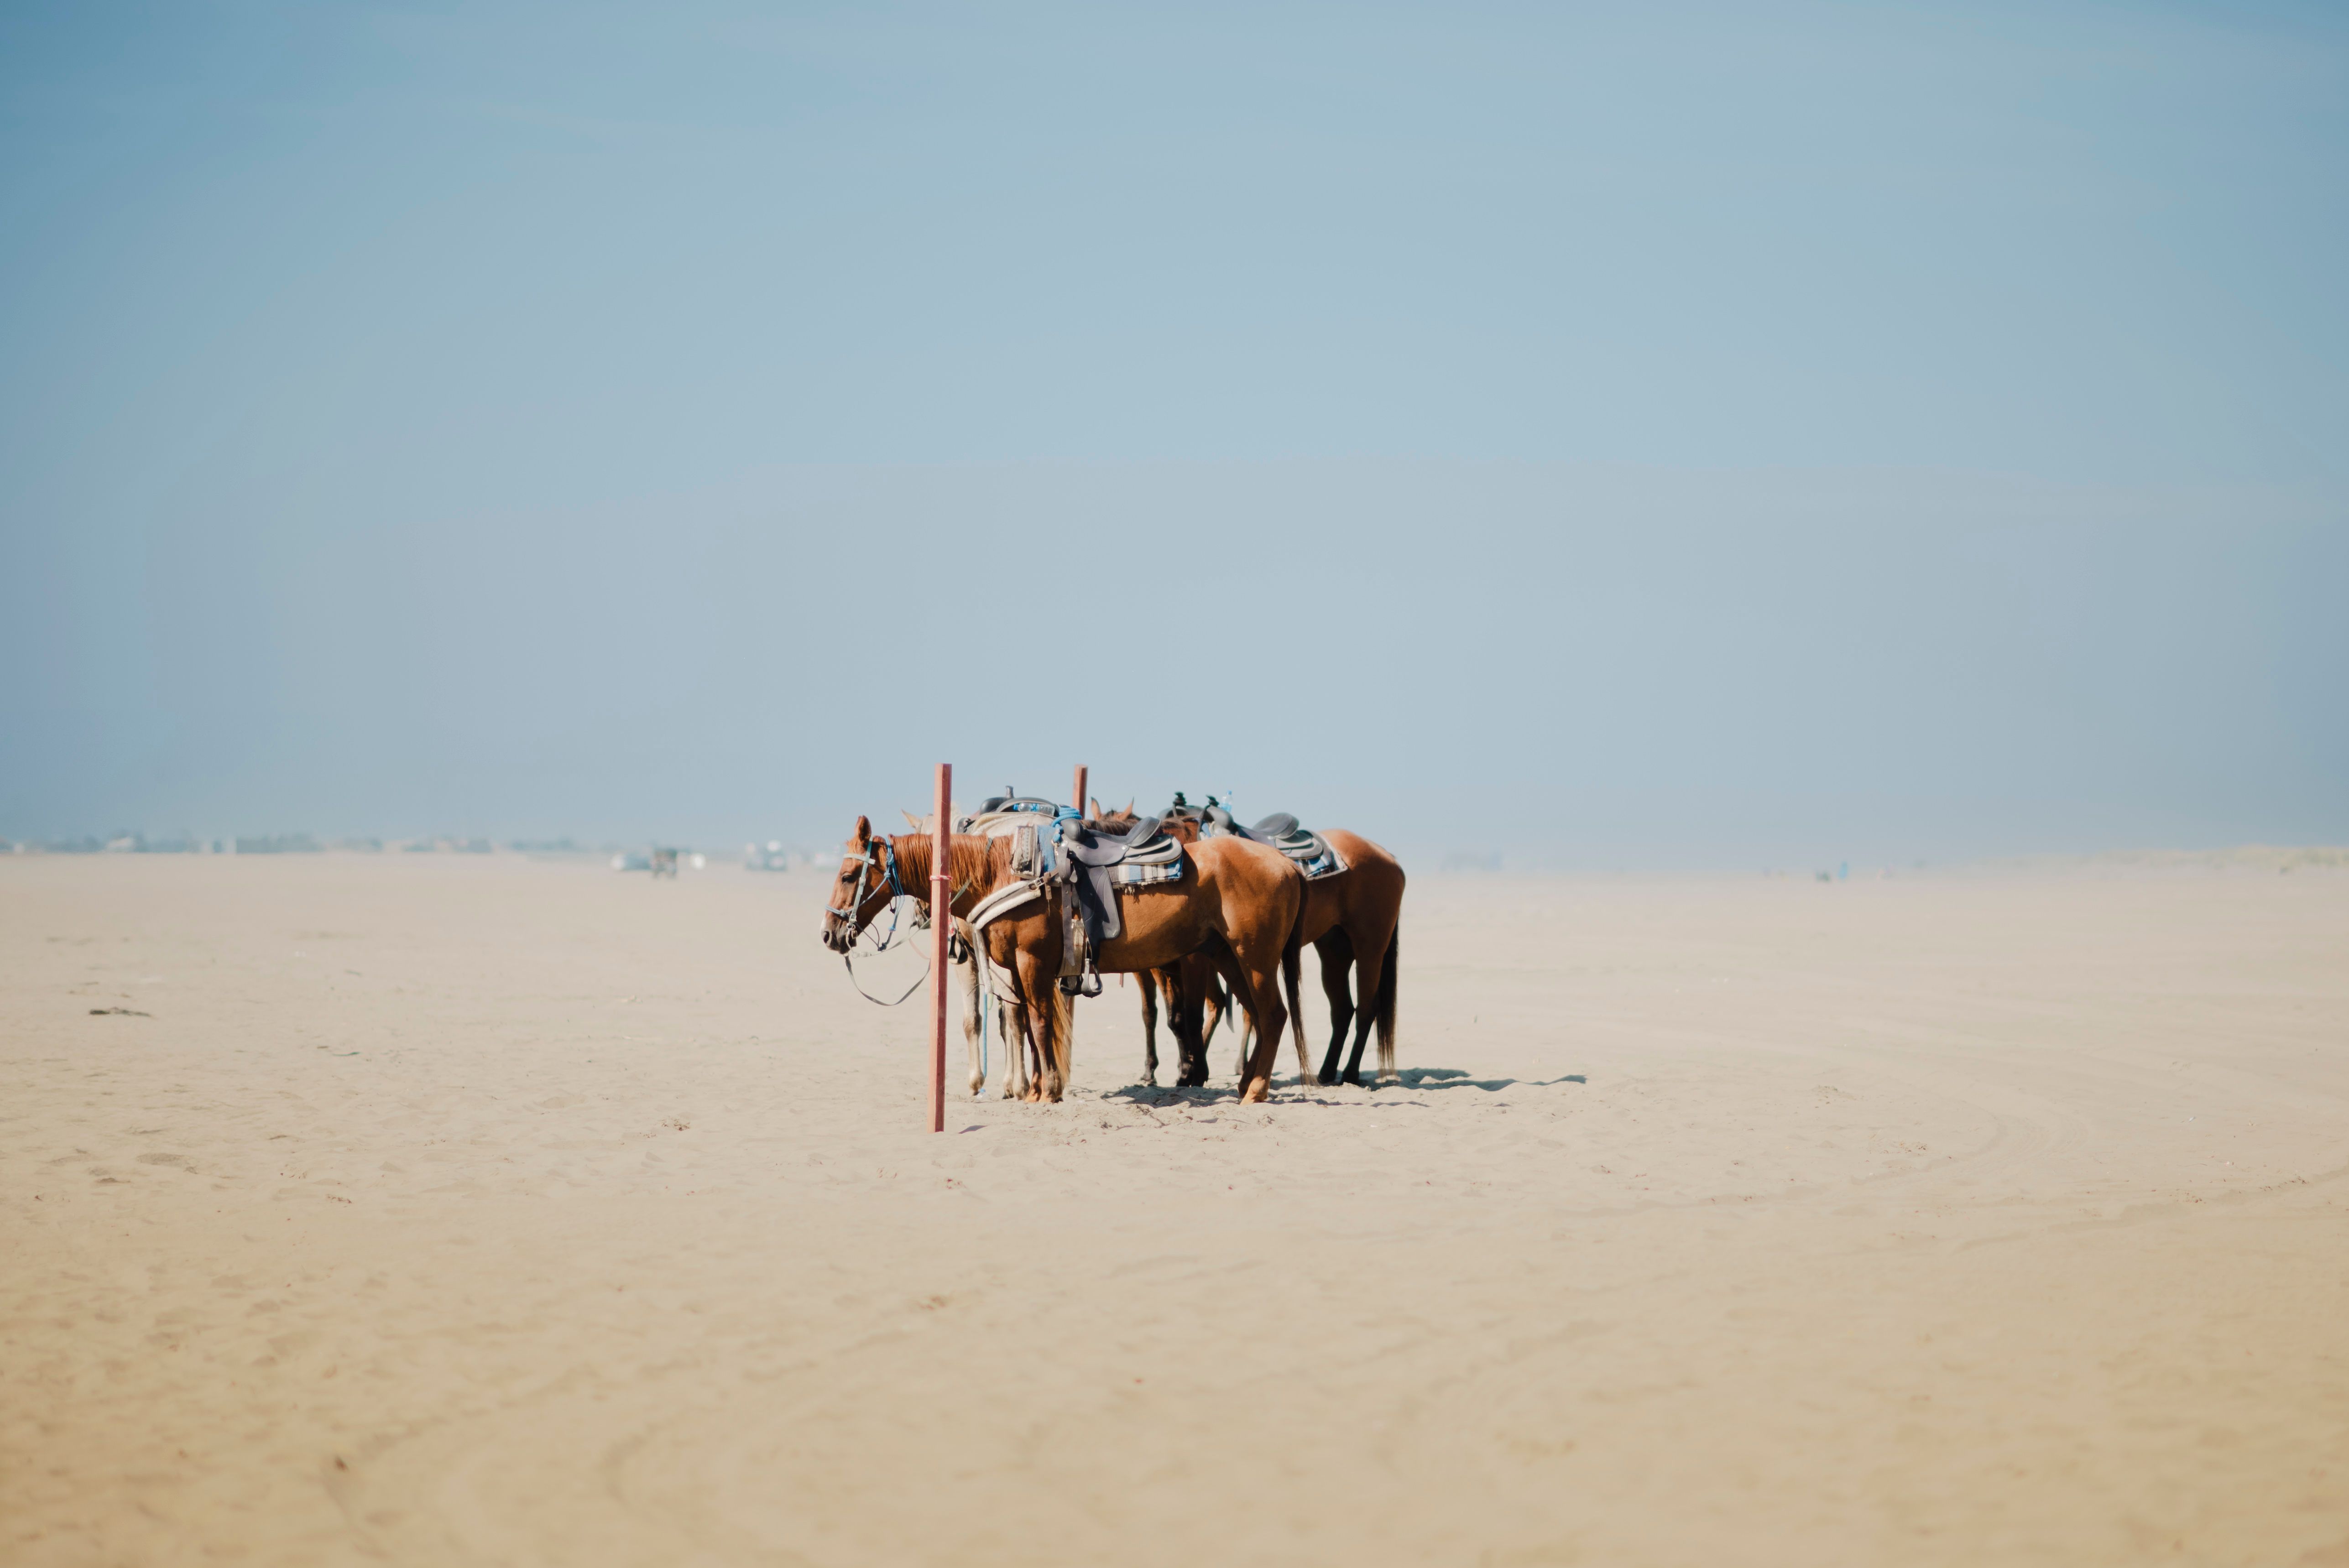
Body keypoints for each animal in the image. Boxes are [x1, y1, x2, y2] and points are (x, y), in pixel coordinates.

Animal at [821, 814, 1307, 1102]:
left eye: (848, 875)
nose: (829, 933)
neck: (1004, 873)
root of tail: (1286, 865)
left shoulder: (1031, 961)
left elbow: (1038, 1024)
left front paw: (1049, 1090)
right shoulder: (1016, 969)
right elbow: (1028, 1026)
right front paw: (1036, 1088)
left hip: (1255, 958)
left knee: (1274, 1014)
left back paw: (1256, 1089)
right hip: (1229, 957)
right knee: (1260, 1014)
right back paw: (1246, 1083)